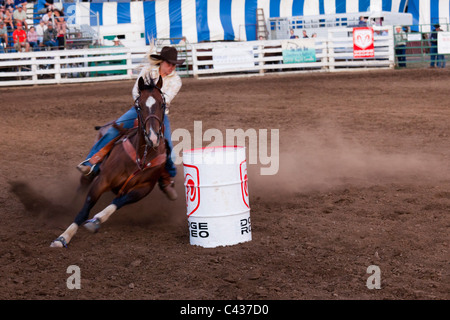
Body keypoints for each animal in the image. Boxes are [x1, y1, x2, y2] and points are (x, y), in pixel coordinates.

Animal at [49, 76, 168, 249]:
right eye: (138, 106)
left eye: (162, 104)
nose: (152, 137)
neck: (141, 157)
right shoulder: (103, 180)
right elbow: (84, 210)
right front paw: (62, 238)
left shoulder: (143, 188)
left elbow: (117, 202)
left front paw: (96, 220)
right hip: (91, 170)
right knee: (83, 184)